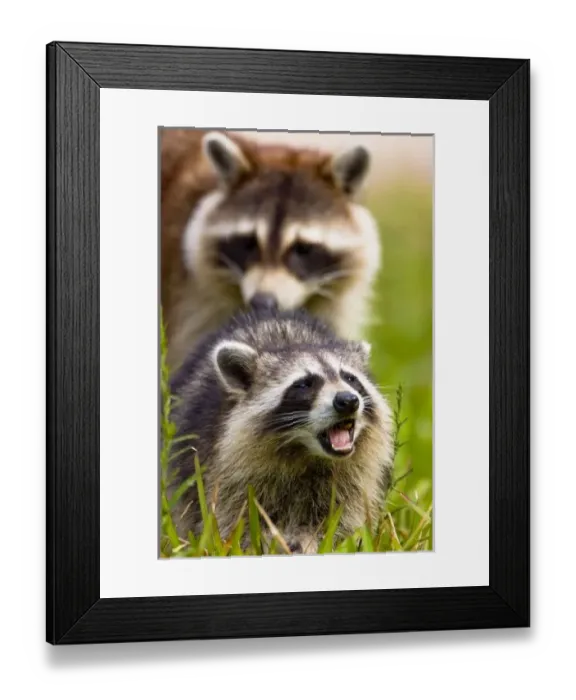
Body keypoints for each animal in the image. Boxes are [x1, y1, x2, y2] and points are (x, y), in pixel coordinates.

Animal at [167, 309, 393, 554]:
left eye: (350, 378)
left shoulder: (352, 478)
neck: (306, 454)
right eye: (304, 384)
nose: (348, 400)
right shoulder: (227, 470)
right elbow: (233, 521)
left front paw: (311, 541)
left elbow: (343, 517)